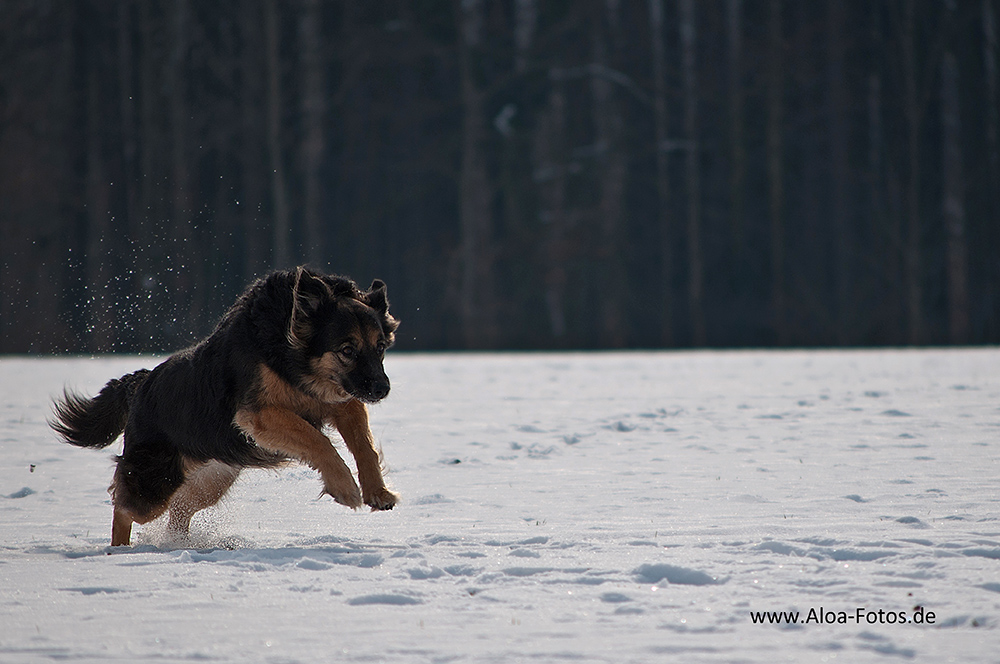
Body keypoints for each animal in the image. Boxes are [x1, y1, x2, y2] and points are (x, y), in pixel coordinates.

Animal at [50, 268, 400, 548]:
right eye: (347, 350)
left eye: (380, 347)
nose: (382, 389)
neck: (289, 352)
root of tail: (143, 383)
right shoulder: (258, 414)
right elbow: (319, 441)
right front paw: (345, 487)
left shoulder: (343, 398)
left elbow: (364, 446)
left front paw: (378, 491)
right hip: (155, 481)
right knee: (124, 506)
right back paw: (119, 551)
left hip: (213, 477)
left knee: (179, 509)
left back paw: (179, 544)